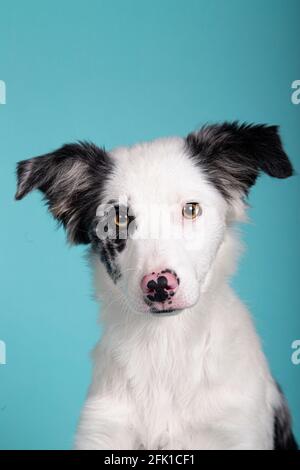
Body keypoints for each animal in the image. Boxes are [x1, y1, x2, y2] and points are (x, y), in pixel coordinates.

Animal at [15, 122, 298, 452]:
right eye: (117, 219)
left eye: (191, 209)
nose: (160, 286)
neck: (165, 346)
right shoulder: (103, 431)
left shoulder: (237, 431)